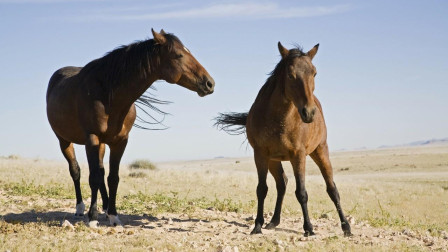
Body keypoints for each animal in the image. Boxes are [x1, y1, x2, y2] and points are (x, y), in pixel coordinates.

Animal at [46, 28, 214, 225]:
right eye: (179, 54)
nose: (209, 83)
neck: (108, 95)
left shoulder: (119, 142)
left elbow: (112, 178)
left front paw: (113, 215)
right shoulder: (92, 138)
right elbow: (93, 177)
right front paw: (92, 217)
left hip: (101, 144)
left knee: (101, 171)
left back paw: (104, 207)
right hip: (64, 141)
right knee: (76, 171)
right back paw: (80, 208)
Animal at [215, 42, 352, 237]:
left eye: (314, 73)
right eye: (290, 74)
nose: (309, 112)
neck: (279, 119)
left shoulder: (298, 155)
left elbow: (302, 192)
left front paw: (309, 228)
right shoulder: (261, 154)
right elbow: (262, 189)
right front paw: (257, 226)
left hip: (320, 150)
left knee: (332, 188)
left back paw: (346, 226)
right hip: (274, 160)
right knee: (282, 183)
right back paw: (273, 221)